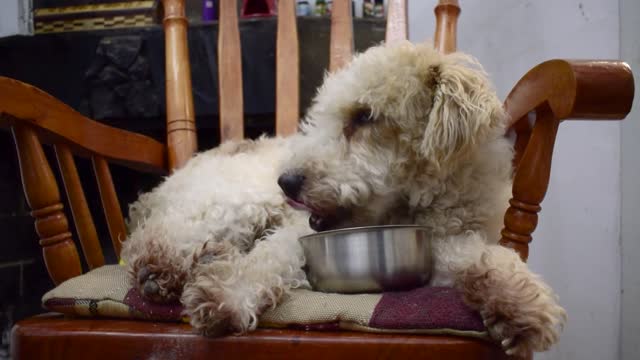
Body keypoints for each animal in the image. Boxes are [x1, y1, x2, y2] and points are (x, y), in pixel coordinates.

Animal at [122, 40, 568, 356]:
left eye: (365, 116)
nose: (287, 181)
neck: (411, 208)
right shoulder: (297, 231)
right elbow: (269, 260)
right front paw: (227, 295)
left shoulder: (449, 238)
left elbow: (483, 256)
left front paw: (520, 305)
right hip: (236, 199)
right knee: (159, 235)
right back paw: (160, 270)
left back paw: (206, 258)